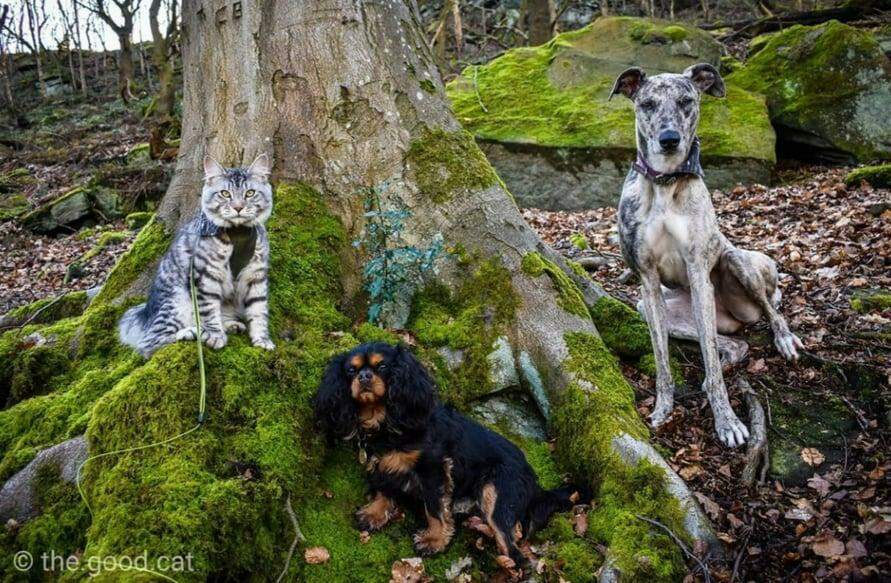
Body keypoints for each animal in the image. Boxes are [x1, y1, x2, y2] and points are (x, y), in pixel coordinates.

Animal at [119, 154, 276, 356]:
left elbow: (259, 311)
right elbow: (209, 311)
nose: (238, 207)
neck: (238, 233)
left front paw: (262, 340)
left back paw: (230, 326)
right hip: (177, 303)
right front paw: (215, 336)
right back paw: (192, 332)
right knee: (150, 344)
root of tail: (146, 311)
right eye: (225, 193)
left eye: (249, 193)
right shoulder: (206, 276)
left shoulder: (256, 276)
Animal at [608, 64, 804, 448]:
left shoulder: (699, 273)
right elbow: (662, 362)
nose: (669, 140)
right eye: (647, 104)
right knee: (732, 344)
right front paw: (663, 409)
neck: (666, 182)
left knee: (769, 310)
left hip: (738, 263)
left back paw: (783, 338)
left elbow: (711, 366)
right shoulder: (647, 282)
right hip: (663, 310)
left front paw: (727, 421)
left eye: (687, 101)